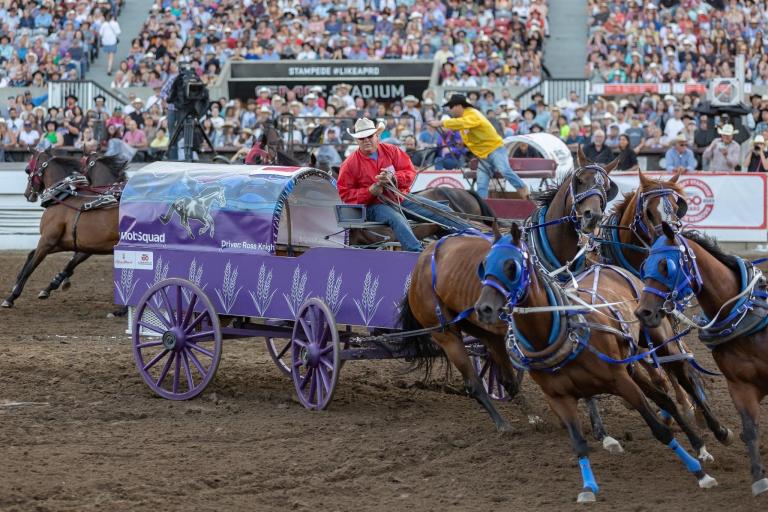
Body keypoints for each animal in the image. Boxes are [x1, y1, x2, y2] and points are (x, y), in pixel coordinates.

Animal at [476, 225, 716, 504]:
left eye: (511, 266)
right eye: (484, 265)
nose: (484, 308)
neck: (561, 334)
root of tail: (608, 266)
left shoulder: (621, 382)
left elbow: (660, 431)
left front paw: (700, 474)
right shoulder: (559, 397)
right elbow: (579, 443)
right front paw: (589, 487)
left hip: (660, 341)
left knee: (684, 378)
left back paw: (707, 440)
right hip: (631, 364)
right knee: (664, 399)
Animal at [640, 222, 768, 498]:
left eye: (666, 266)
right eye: (644, 266)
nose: (642, 312)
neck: (745, 316)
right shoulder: (739, 386)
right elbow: (750, 429)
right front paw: (758, 478)